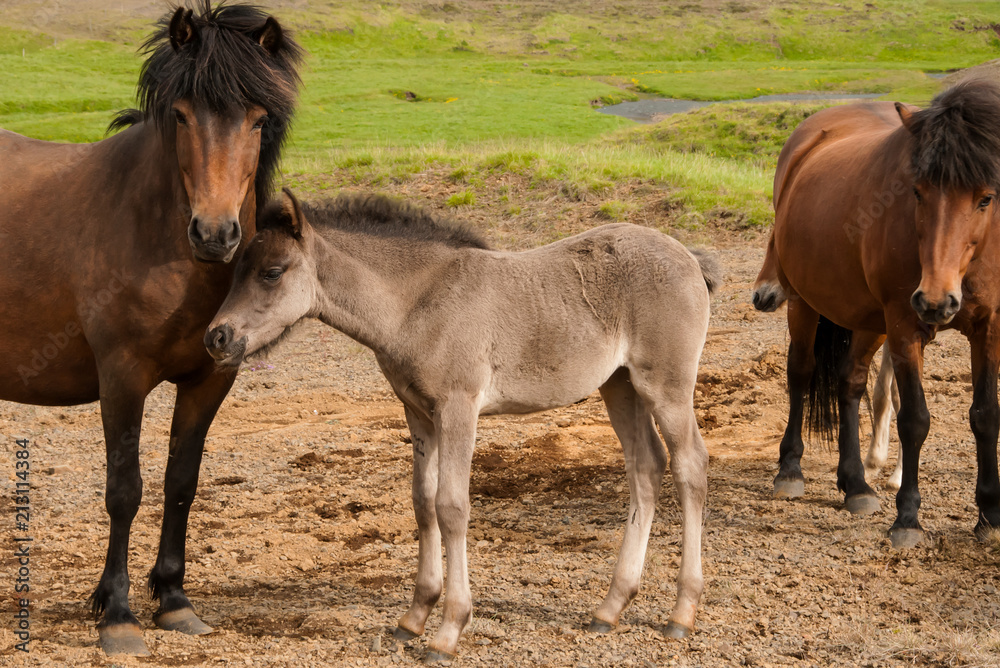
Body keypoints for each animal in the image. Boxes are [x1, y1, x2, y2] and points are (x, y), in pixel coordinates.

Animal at [0, 2, 300, 656]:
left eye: (259, 120)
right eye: (182, 116)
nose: (214, 234)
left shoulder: (211, 379)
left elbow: (180, 482)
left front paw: (174, 601)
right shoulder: (122, 377)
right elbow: (125, 489)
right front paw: (116, 613)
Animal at [203, 190, 720, 660]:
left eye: (272, 272)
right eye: (236, 270)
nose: (216, 337)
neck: (418, 303)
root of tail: (689, 257)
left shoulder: (458, 408)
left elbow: (451, 507)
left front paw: (448, 631)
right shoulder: (418, 413)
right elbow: (422, 503)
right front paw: (413, 618)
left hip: (666, 385)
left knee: (690, 465)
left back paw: (682, 613)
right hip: (620, 385)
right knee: (646, 466)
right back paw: (610, 608)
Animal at [752, 81, 1000, 548]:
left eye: (986, 198)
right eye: (917, 191)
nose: (936, 301)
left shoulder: (988, 328)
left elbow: (985, 415)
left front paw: (990, 516)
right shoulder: (904, 327)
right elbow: (914, 419)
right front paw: (908, 519)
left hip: (868, 321)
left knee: (849, 382)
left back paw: (855, 485)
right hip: (806, 303)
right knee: (801, 371)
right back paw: (790, 469)